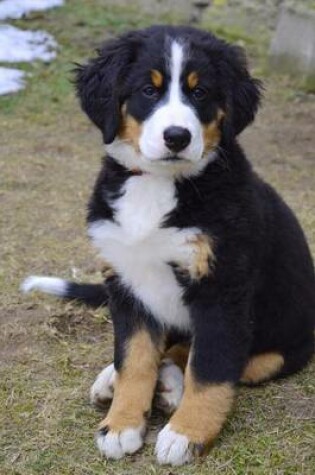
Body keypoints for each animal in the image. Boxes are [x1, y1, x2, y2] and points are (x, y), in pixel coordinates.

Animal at [21, 25, 314, 464]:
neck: (158, 184)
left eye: (200, 92)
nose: (177, 136)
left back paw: (172, 388)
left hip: (280, 348)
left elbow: (209, 369)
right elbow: (134, 358)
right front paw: (121, 424)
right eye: (148, 89)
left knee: (208, 355)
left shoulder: (221, 289)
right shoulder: (127, 284)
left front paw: (186, 434)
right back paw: (118, 381)